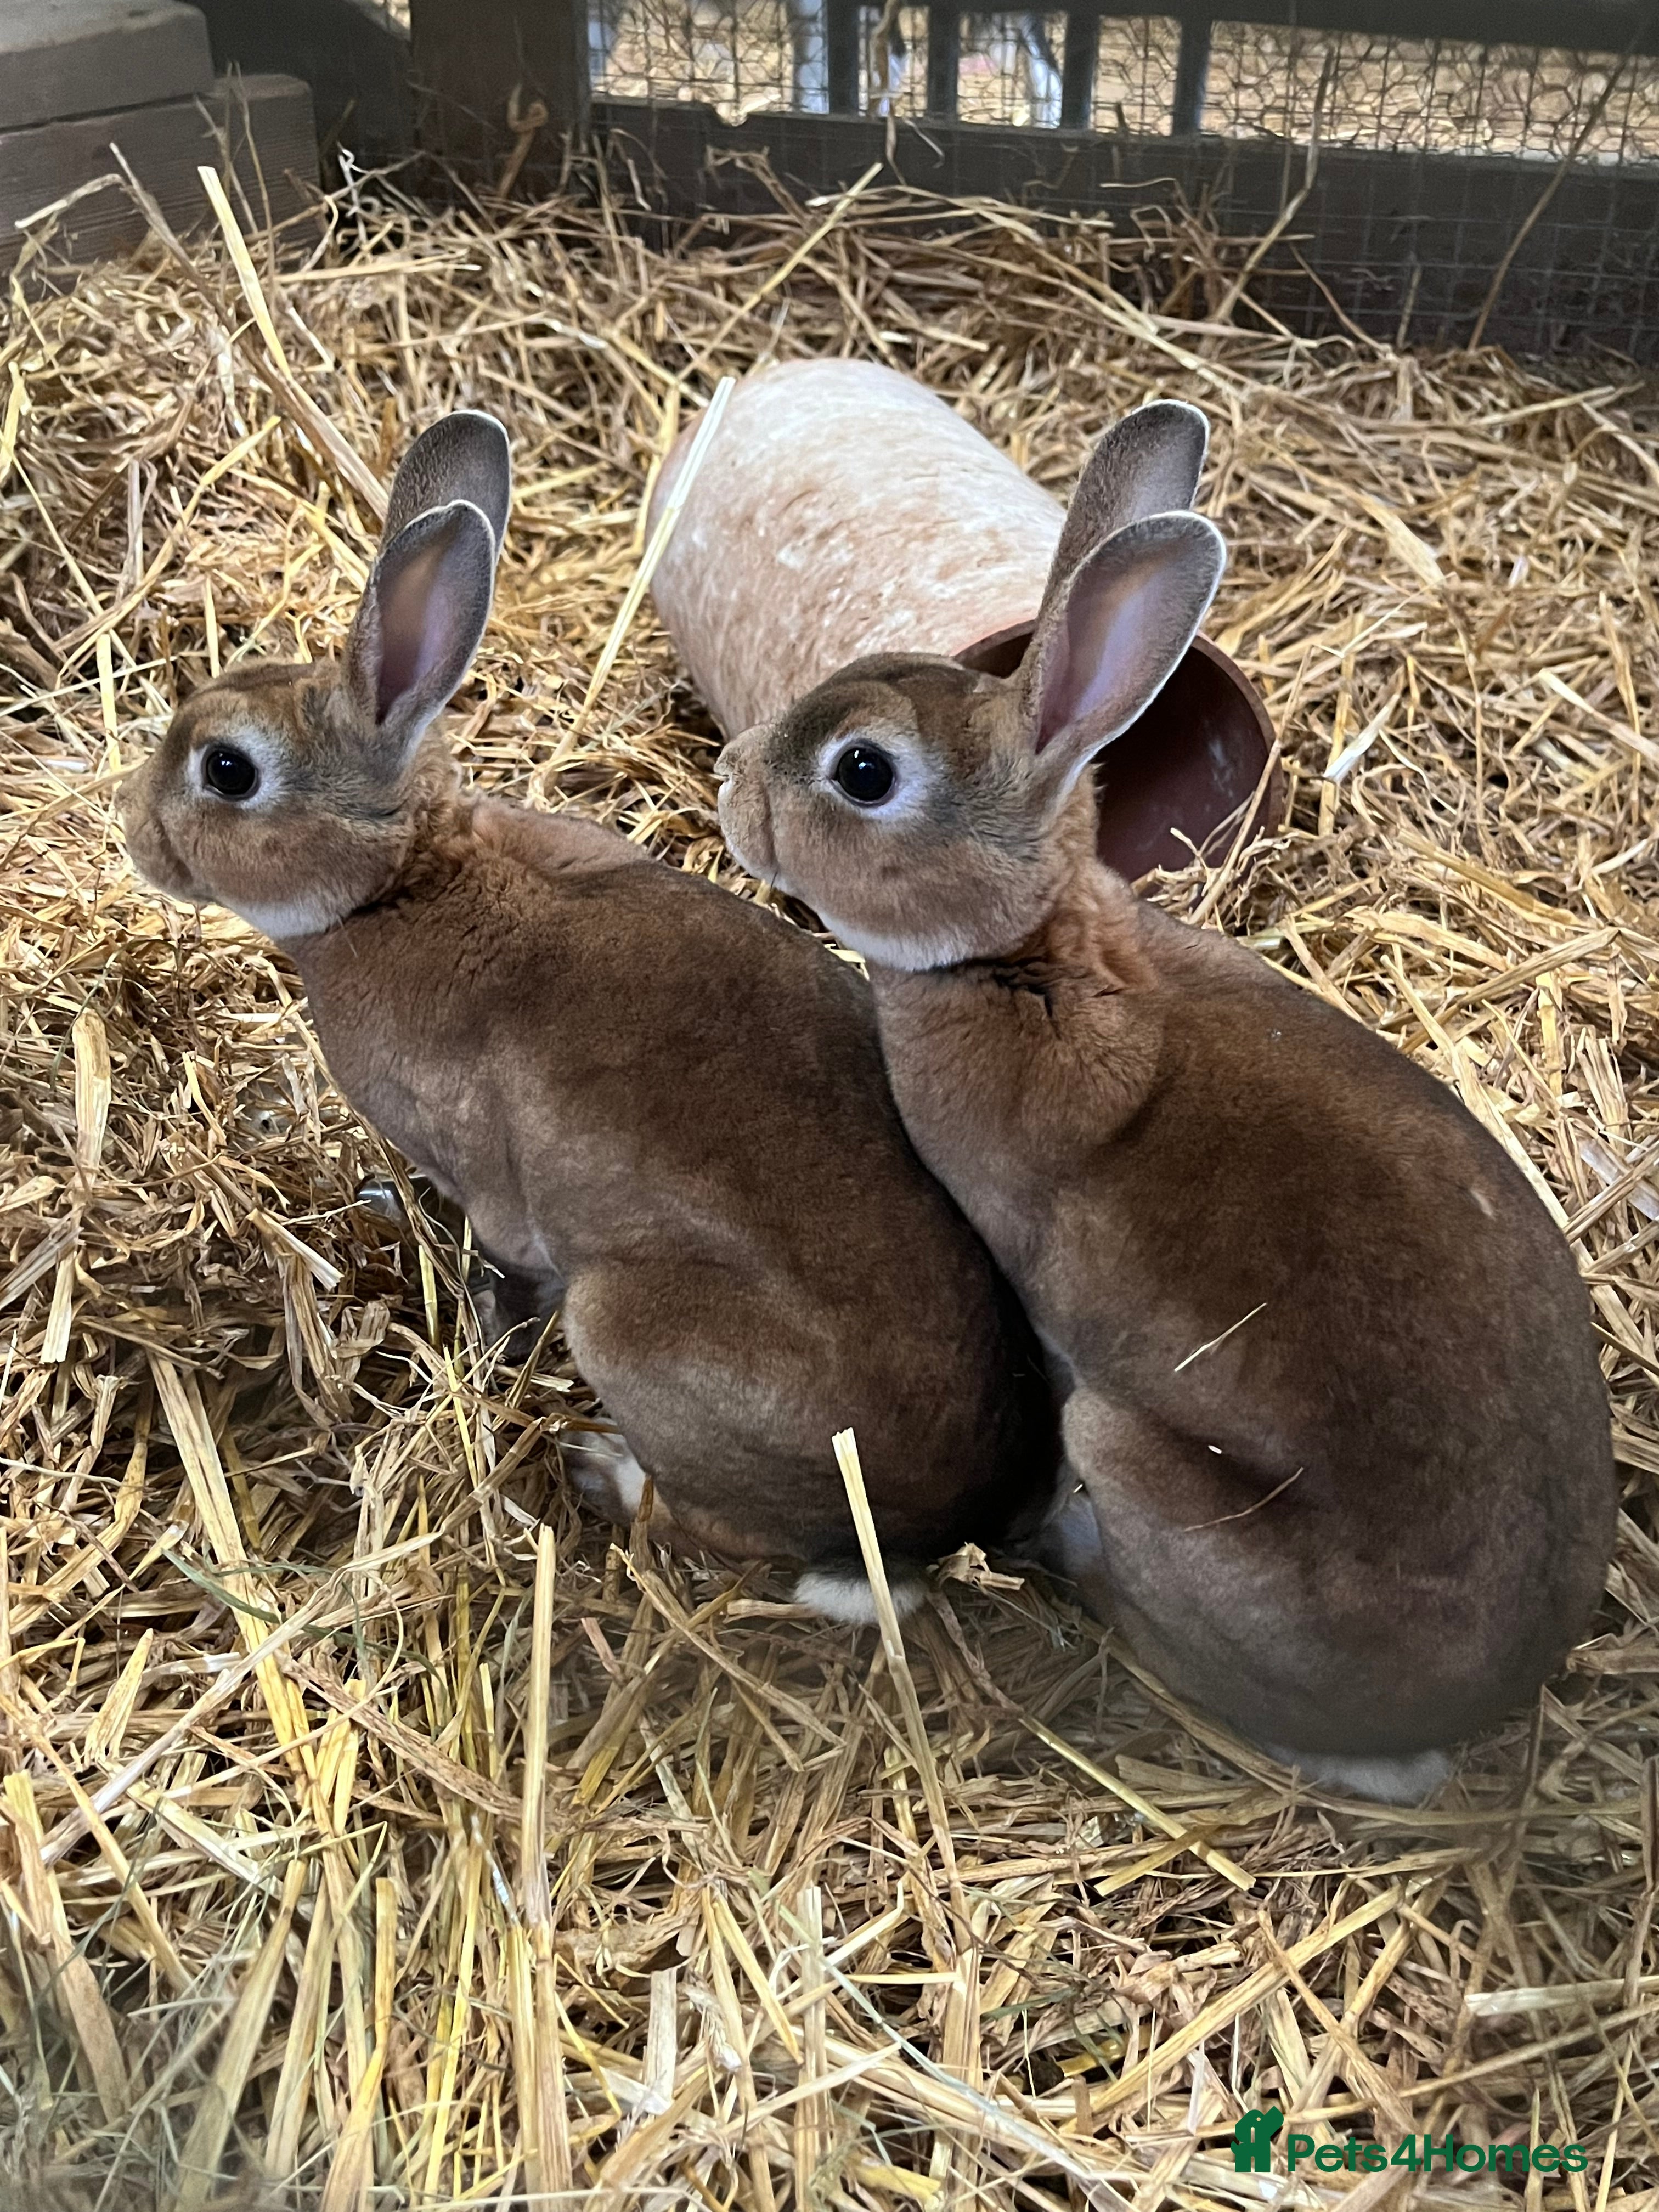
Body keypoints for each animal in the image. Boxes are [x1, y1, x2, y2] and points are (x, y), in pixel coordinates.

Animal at [119, 410, 1061, 1617]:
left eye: (227, 769)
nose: (137, 831)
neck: (401, 882)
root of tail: (944, 1523)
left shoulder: (492, 1188)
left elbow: (500, 1273)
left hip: (631, 1332)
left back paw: (604, 1474)